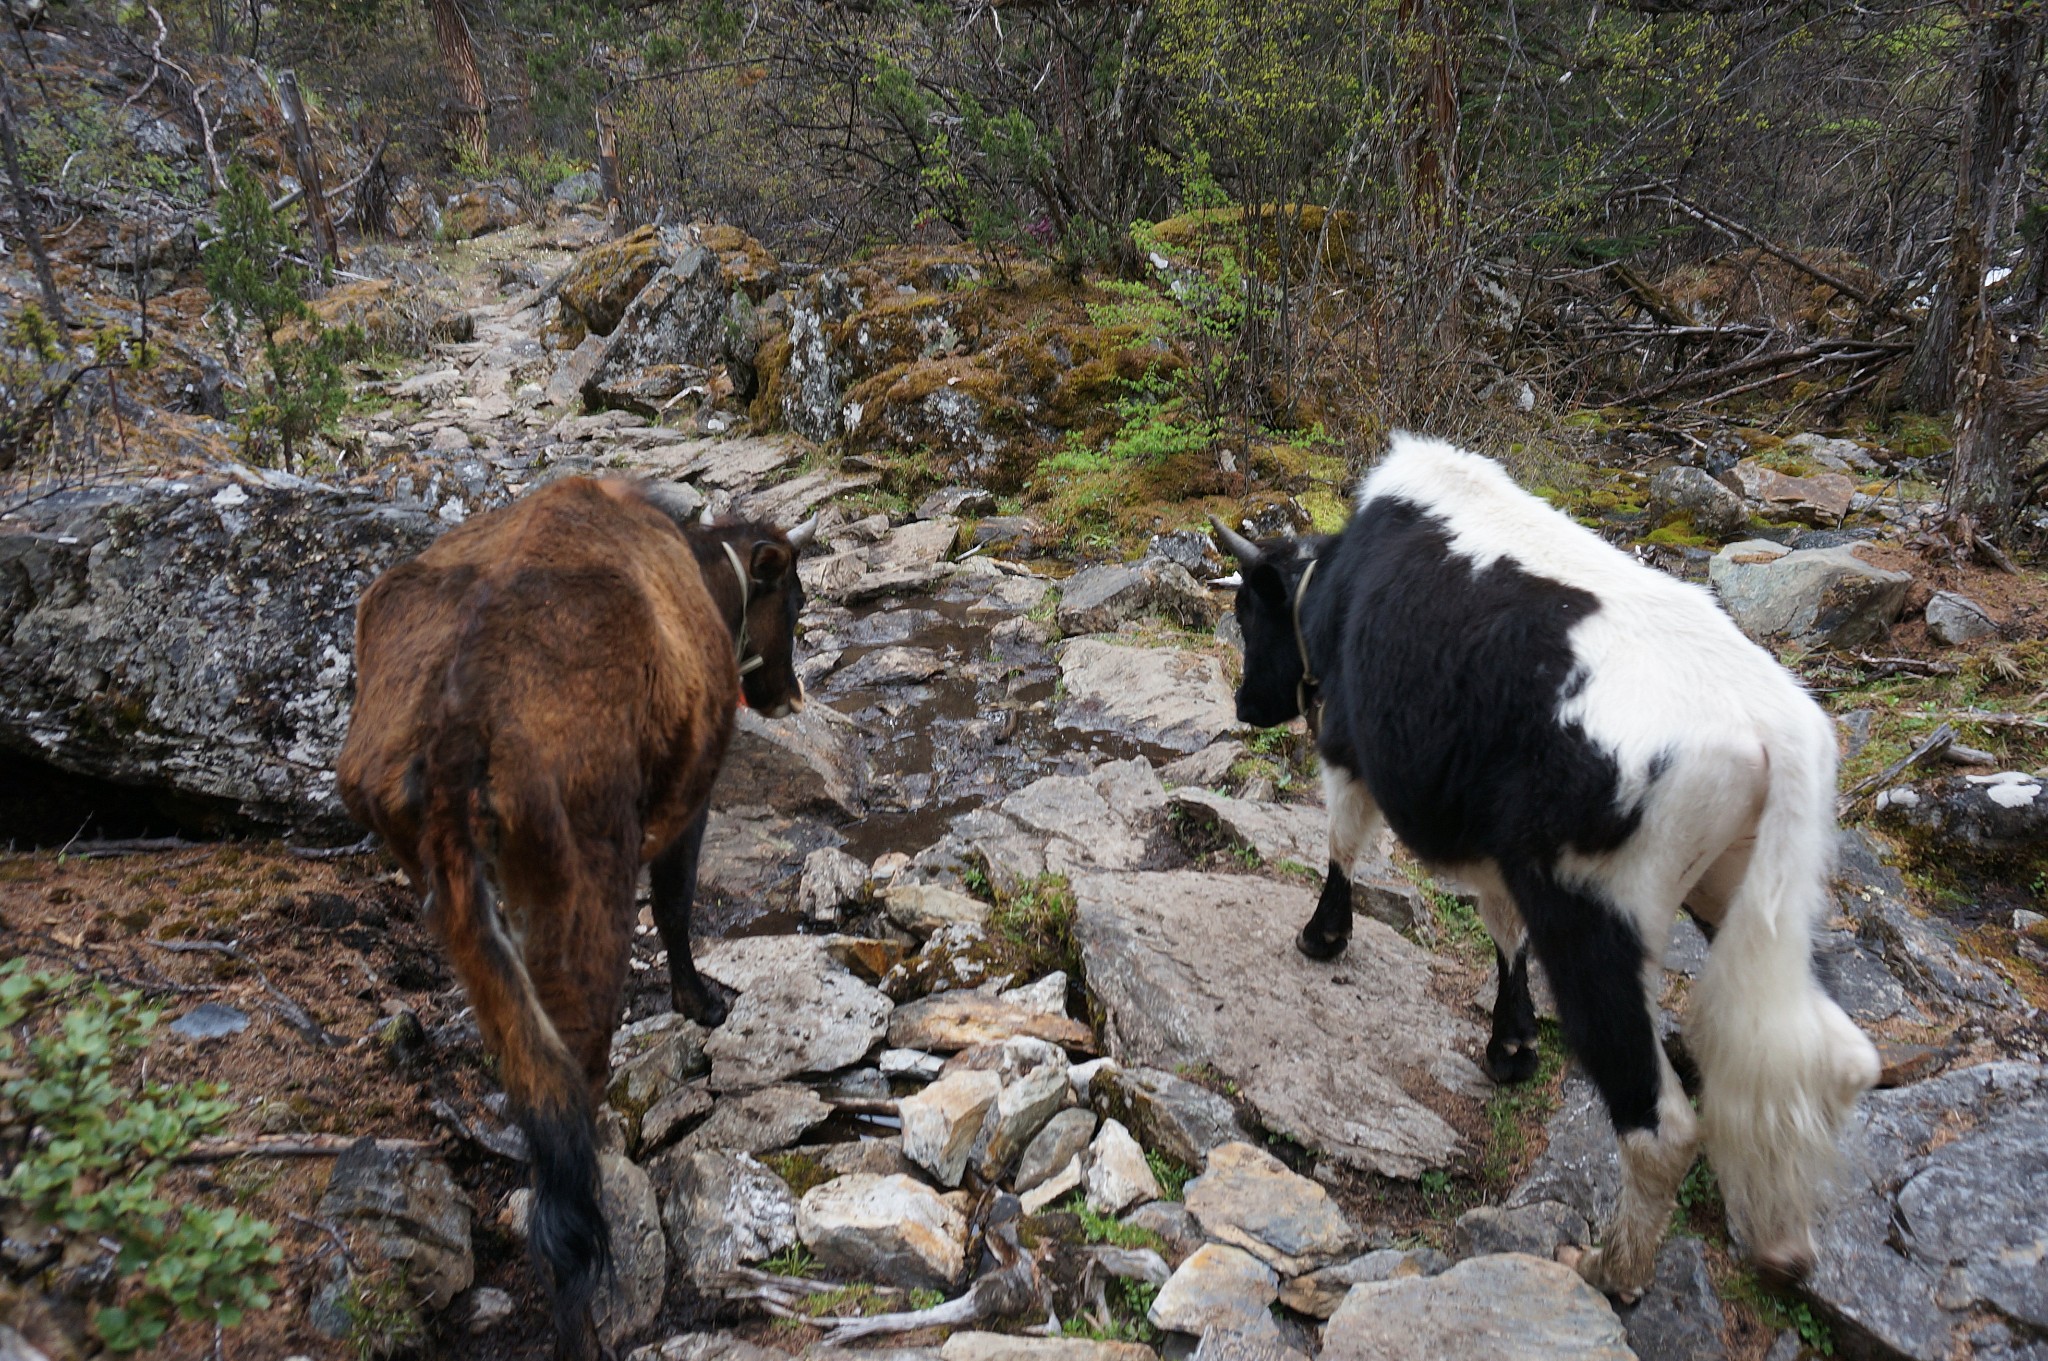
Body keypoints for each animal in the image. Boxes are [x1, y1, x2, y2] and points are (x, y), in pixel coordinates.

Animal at [337, 472, 815, 1350]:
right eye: (793, 601)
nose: (790, 695)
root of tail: (459, 720)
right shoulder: (688, 799)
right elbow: (675, 904)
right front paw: (702, 1002)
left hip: (458, 899)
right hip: (583, 882)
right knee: (570, 1106)